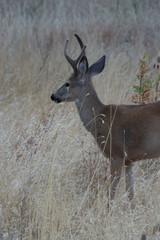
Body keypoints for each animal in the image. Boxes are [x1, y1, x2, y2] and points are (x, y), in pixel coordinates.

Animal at [50, 33, 160, 199]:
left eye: (67, 83)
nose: (53, 95)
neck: (99, 119)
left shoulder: (116, 153)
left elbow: (111, 193)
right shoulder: (129, 160)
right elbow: (131, 195)